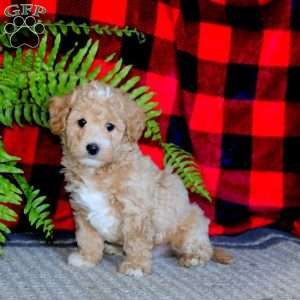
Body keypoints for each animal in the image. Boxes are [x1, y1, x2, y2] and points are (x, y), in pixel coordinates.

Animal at [49, 81, 232, 276]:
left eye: (110, 126)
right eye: (81, 122)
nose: (92, 147)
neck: (99, 172)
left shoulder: (135, 211)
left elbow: (136, 241)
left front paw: (135, 265)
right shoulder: (82, 209)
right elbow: (88, 238)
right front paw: (87, 258)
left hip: (189, 228)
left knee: (202, 247)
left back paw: (193, 257)